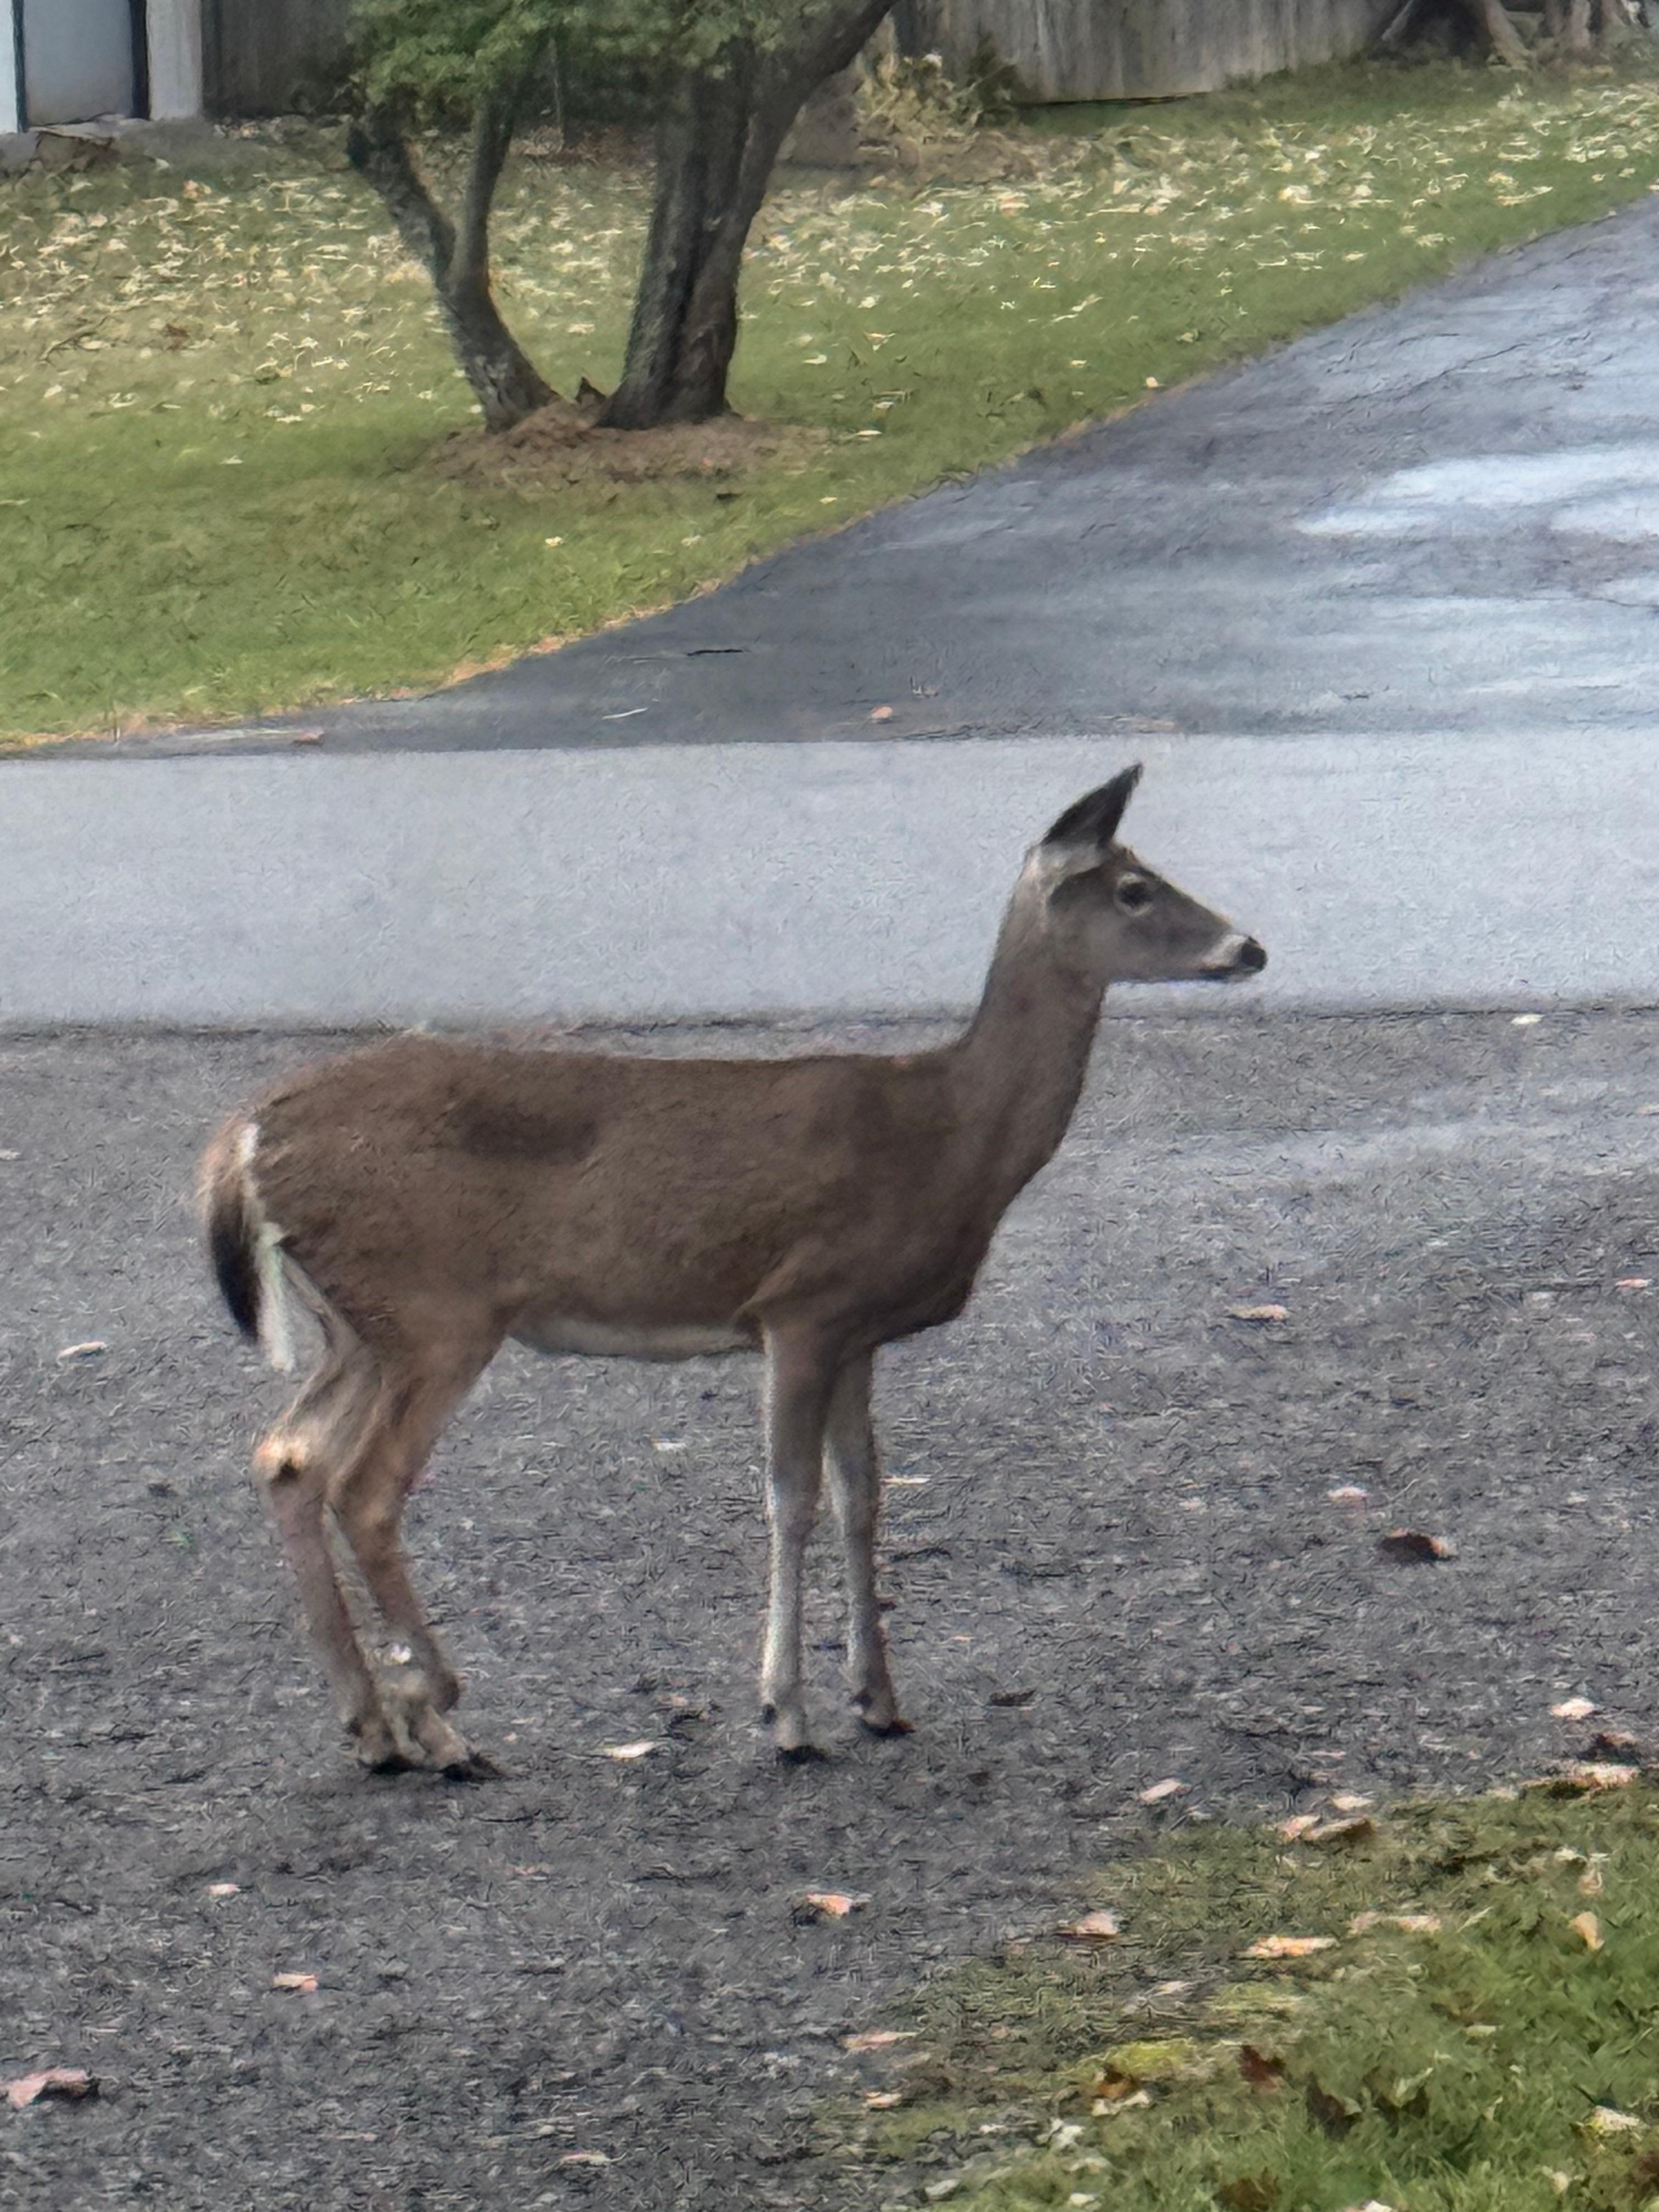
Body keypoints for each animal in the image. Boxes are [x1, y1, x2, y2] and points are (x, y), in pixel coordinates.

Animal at [199, 766, 1265, 1775]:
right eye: (1133, 889)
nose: (1249, 947)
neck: (949, 1138)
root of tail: (248, 1134)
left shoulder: (859, 1331)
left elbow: (863, 1493)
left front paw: (877, 1698)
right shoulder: (802, 1304)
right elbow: (791, 1500)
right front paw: (785, 1714)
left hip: (361, 1325)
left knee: (288, 1458)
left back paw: (371, 1728)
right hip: (435, 1309)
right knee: (365, 1486)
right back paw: (439, 1720)